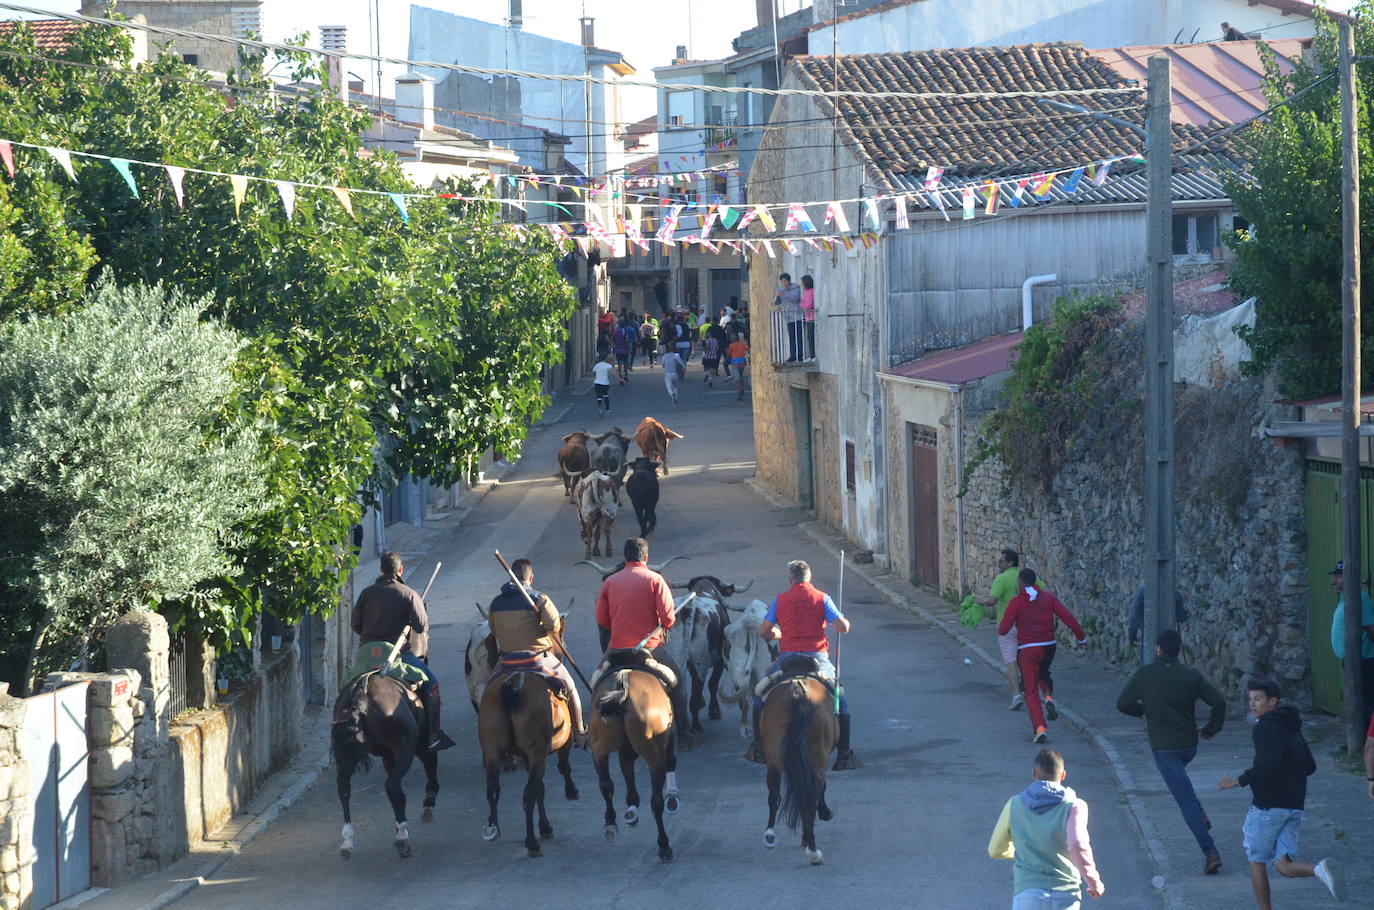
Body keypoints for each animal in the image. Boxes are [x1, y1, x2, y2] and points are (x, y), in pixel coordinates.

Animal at [332, 676, 439, 863]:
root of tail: (359, 696)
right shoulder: (418, 744)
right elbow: (430, 761)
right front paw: (428, 804)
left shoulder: (388, 757)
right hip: (405, 748)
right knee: (393, 786)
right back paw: (403, 837)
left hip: (344, 755)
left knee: (344, 788)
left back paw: (347, 842)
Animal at [475, 637, 577, 857]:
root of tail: (511, 687)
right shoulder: (548, 750)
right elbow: (561, 769)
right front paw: (570, 791)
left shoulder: (529, 757)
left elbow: (541, 788)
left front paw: (545, 826)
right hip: (538, 751)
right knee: (528, 795)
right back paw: (532, 843)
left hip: (492, 750)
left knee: (493, 789)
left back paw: (493, 828)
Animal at [588, 662, 678, 863]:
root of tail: (623, 684)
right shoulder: (667, 741)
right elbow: (671, 761)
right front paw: (672, 797)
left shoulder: (624, 750)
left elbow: (626, 770)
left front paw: (631, 810)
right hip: (654, 754)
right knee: (656, 801)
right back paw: (664, 845)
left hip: (599, 745)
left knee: (605, 784)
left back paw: (611, 824)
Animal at [758, 676, 829, 868]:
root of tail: (797, 691)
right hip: (817, 756)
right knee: (812, 791)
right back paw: (813, 851)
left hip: (773, 752)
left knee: (774, 790)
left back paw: (770, 835)